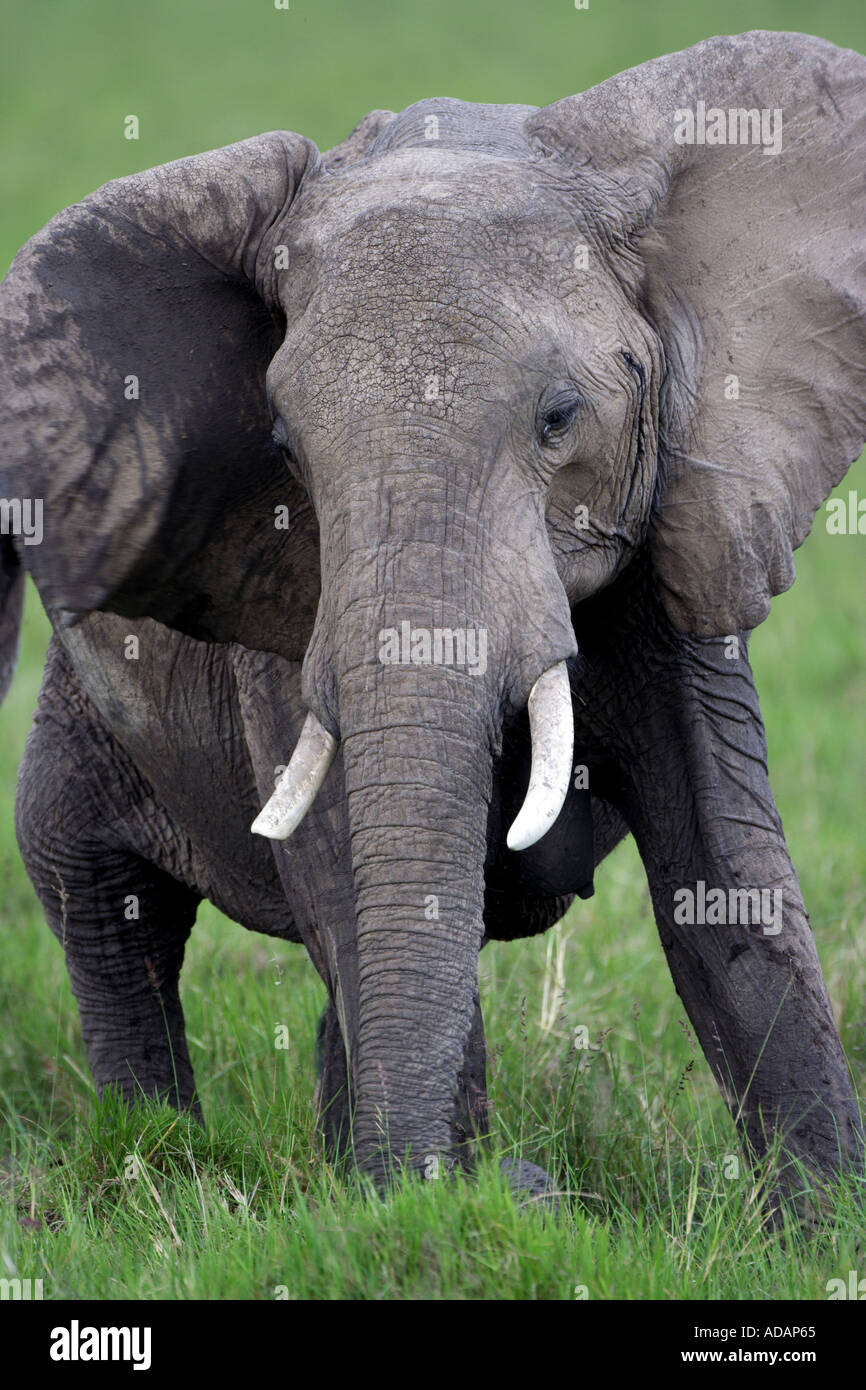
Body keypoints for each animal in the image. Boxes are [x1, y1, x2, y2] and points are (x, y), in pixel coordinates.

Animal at [0, 27, 861, 1200]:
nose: (525, 1181)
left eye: (559, 417)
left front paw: (818, 1221)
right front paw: (444, 1201)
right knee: (101, 899)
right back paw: (162, 1161)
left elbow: (726, 868)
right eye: (284, 443)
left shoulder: (682, 515)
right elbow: (352, 880)